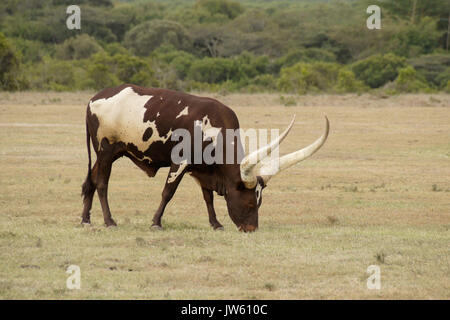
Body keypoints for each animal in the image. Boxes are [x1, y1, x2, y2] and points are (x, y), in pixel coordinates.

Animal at [81, 84, 328, 231]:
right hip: (106, 152)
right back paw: (109, 221)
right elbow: (168, 192)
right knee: (101, 183)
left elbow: (207, 197)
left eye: (259, 203)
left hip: (107, 154)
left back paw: (85, 219)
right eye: (249, 203)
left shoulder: (203, 170)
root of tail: (94, 98)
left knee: (90, 181)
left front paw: (216, 223)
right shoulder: (179, 162)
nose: (251, 230)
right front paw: (156, 222)